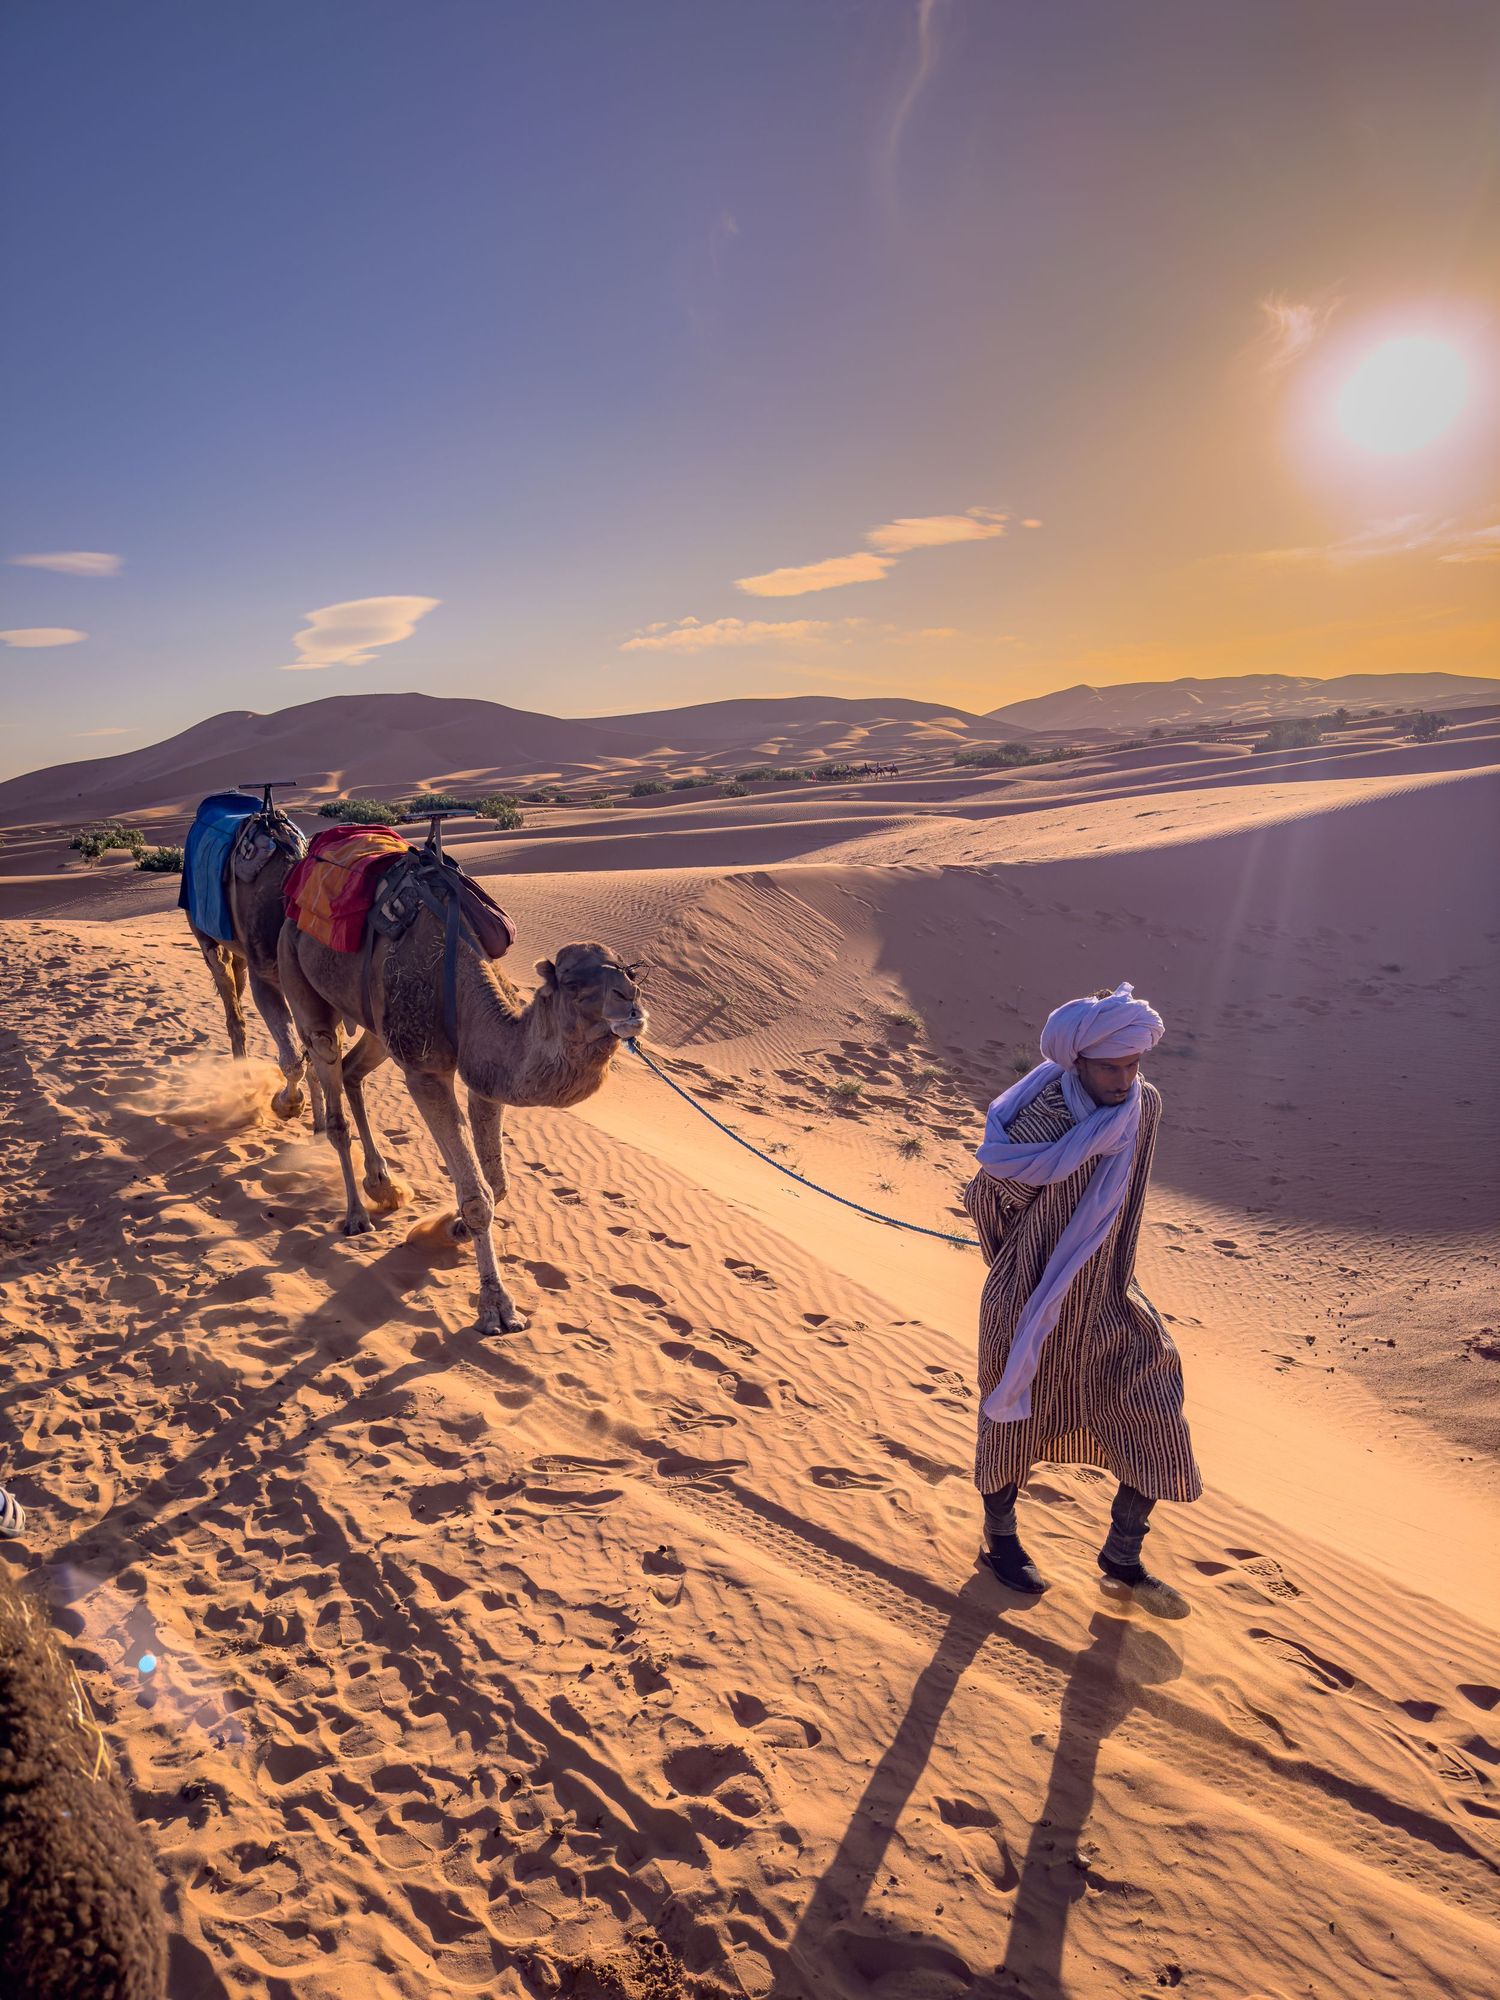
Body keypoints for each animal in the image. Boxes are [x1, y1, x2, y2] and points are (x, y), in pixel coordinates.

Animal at [277, 909, 646, 1333]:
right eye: (571, 983)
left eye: (630, 973)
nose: (630, 1002)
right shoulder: (426, 1072)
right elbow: (477, 1197)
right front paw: (496, 1307)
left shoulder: (485, 1079)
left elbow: (497, 1183)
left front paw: (452, 1228)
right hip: (300, 981)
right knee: (329, 1073)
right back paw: (356, 1215)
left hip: (378, 1029)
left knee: (354, 1072)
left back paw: (383, 1185)